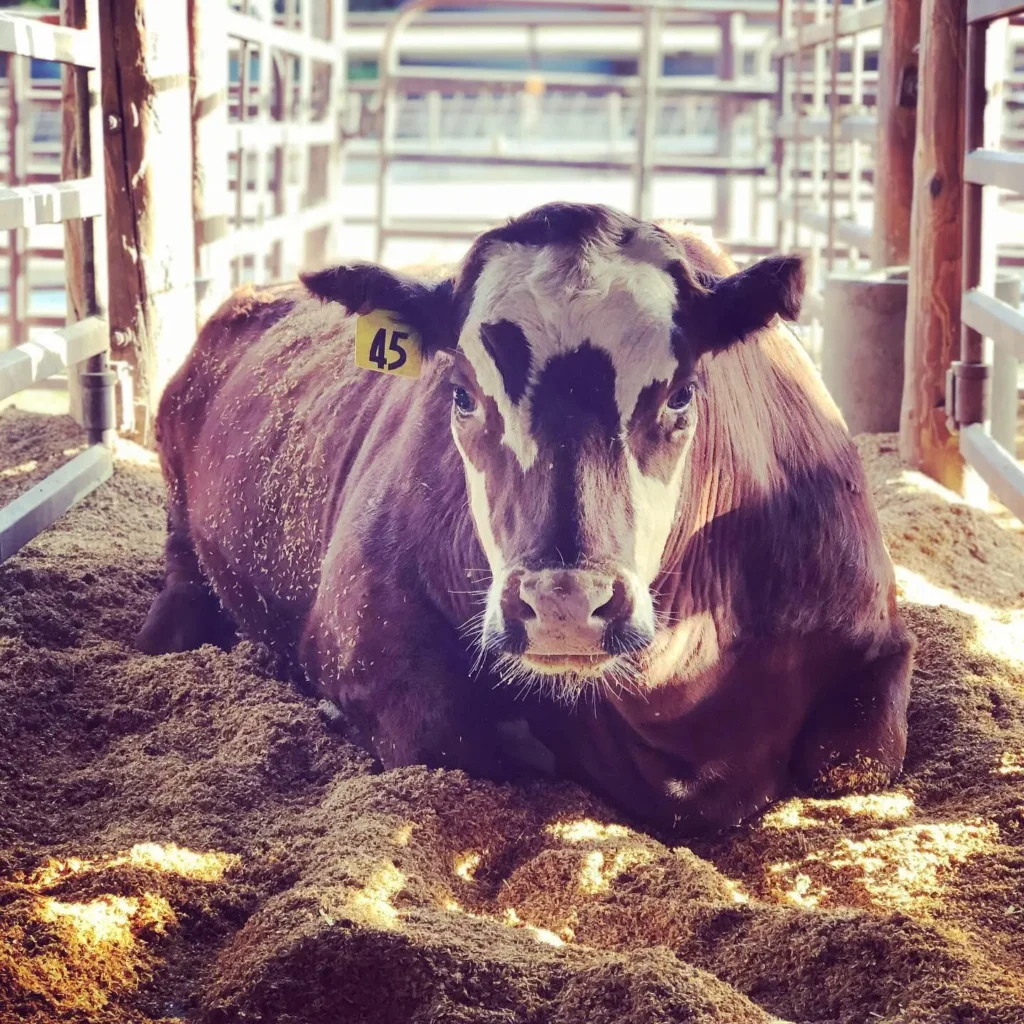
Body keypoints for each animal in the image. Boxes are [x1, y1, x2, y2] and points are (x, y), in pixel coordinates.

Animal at [137, 203, 913, 836]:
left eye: (682, 394)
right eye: (461, 394)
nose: (564, 602)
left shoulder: (876, 636)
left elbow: (857, 758)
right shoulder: (357, 634)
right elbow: (450, 736)